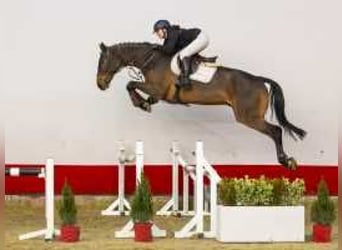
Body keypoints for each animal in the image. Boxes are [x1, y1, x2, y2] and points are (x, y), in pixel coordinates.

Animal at [96, 42, 308, 170]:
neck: (150, 60)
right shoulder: (158, 94)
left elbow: (130, 84)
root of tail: (259, 80)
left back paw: (286, 161)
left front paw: (140, 103)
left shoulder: (157, 89)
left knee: (276, 131)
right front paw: (145, 104)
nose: (100, 84)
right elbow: (139, 91)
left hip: (248, 117)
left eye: (103, 61)